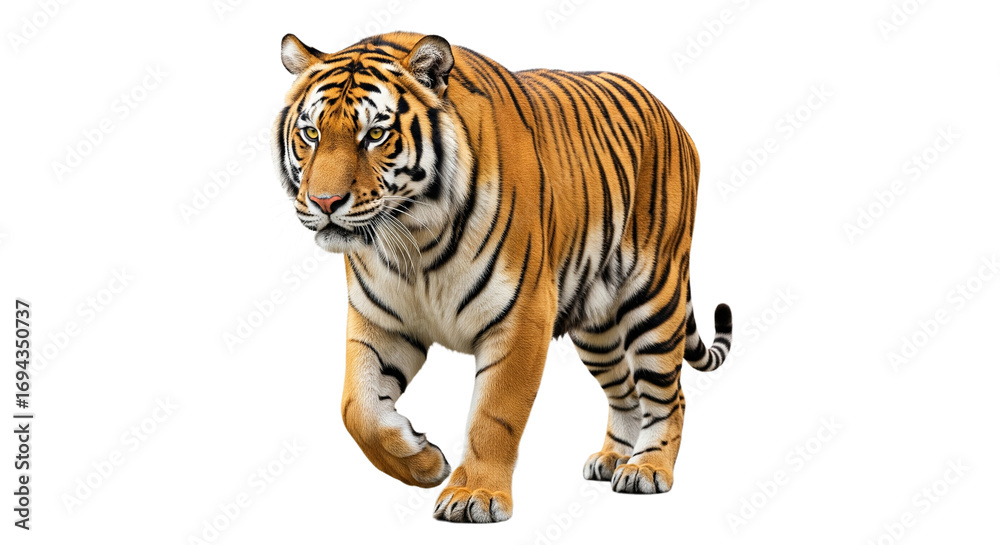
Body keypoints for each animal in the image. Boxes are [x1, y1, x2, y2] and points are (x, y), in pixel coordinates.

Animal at [272, 31, 733, 523]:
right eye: (311, 133)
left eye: (375, 134)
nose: (324, 202)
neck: (415, 238)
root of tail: (672, 116)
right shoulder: (380, 322)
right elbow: (356, 408)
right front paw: (423, 461)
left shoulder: (522, 317)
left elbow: (494, 414)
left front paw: (474, 494)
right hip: (597, 326)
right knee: (624, 391)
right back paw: (612, 459)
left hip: (655, 297)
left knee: (669, 394)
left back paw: (648, 468)